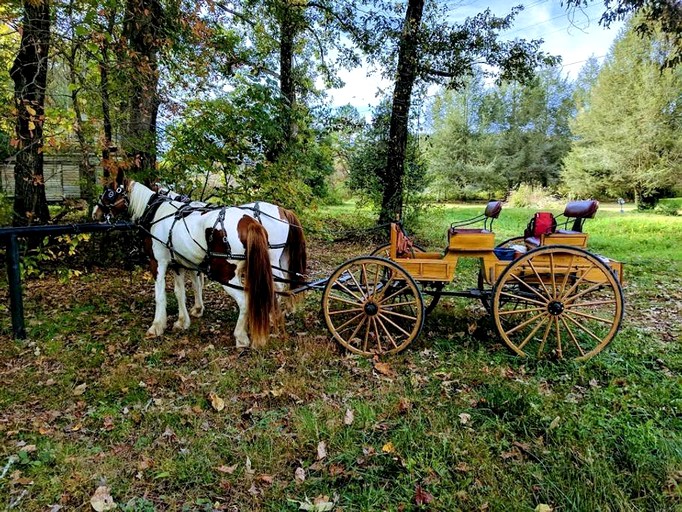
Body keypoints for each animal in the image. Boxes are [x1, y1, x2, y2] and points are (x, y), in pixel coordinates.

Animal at [93, 171, 306, 348]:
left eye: (109, 192)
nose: (95, 212)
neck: (157, 213)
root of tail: (249, 221)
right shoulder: (179, 263)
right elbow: (181, 292)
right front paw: (184, 320)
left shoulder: (158, 263)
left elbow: (161, 295)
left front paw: (157, 325)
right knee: (273, 288)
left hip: (227, 272)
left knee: (250, 298)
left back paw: (242, 335)